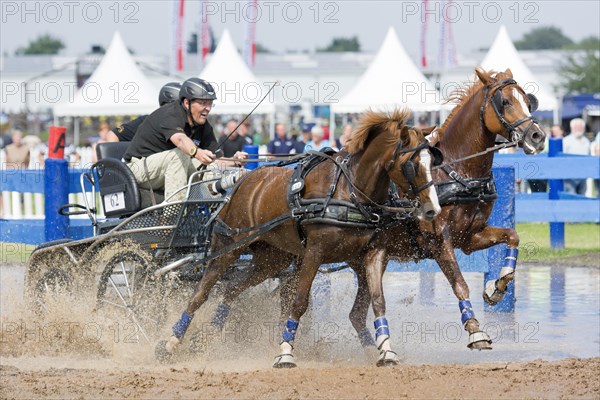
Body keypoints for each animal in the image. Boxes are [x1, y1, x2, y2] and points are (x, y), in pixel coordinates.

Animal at [158, 109, 440, 366]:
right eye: (412, 164)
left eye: (432, 162)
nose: (432, 209)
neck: (349, 189)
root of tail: (243, 180)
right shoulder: (314, 253)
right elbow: (299, 302)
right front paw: (285, 352)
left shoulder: (372, 253)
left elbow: (378, 300)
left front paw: (386, 350)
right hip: (229, 247)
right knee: (201, 291)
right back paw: (171, 343)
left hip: (272, 258)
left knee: (233, 286)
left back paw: (210, 335)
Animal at [346, 70, 548, 352]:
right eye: (505, 102)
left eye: (528, 102)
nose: (537, 137)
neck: (456, 173)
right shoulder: (440, 240)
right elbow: (459, 284)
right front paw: (474, 330)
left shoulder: (470, 237)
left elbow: (512, 236)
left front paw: (497, 287)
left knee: (355, 313)